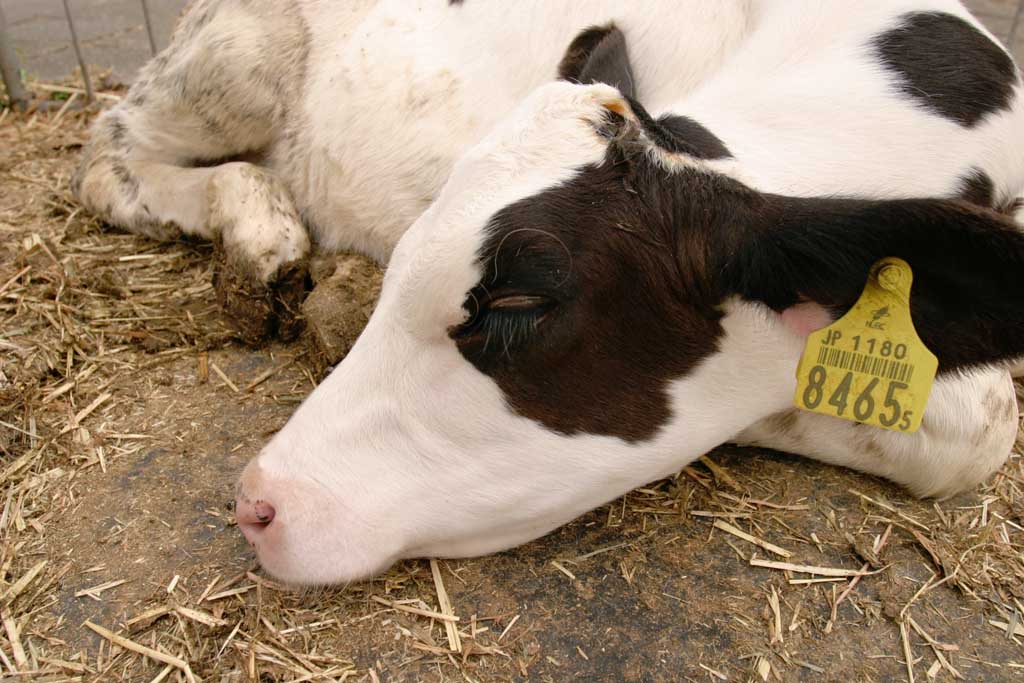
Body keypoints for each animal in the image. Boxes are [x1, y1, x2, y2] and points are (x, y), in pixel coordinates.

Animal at [74, 1, 1024, 589]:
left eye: (513, 308)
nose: (255, 502)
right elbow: (979, 420)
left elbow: (977, 420)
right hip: (237, 58)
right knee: (108, 150)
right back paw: (262, 226)